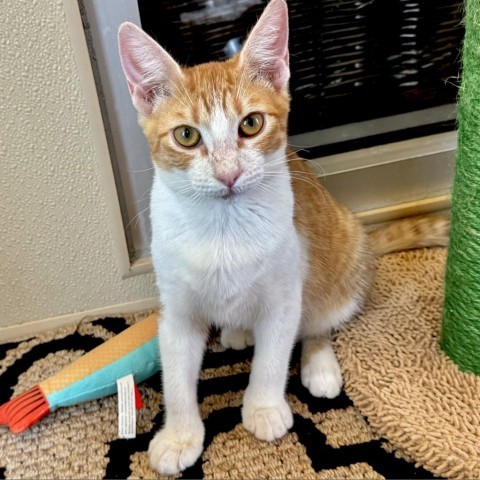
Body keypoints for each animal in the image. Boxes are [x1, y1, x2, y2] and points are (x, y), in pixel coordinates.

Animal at [118, 0, 448, 472]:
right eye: (186, 135)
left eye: (251, 124)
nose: (228, 173)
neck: (224, 227)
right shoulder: (176, 307)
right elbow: (176, 372)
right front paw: (180, 435)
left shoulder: (285, 292)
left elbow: (273, 357)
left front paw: (263, 407)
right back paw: (237, 331)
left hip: (338, 253)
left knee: (319, 320)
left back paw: (319, 365)